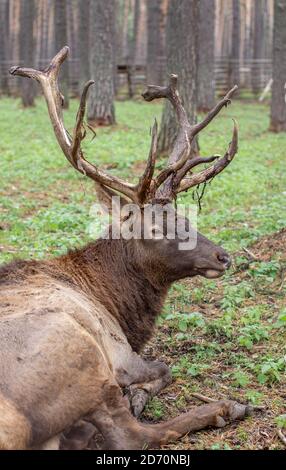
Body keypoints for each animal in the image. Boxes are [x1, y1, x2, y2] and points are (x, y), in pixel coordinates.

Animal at [0, 46, 255, 448]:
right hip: (80, 351)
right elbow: (164, 368)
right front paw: (138, 394)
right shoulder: (119, 351)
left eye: (185, 215)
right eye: (154, 226)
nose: (222, 255)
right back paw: (223, 408)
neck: (118, 305)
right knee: (130, 434)